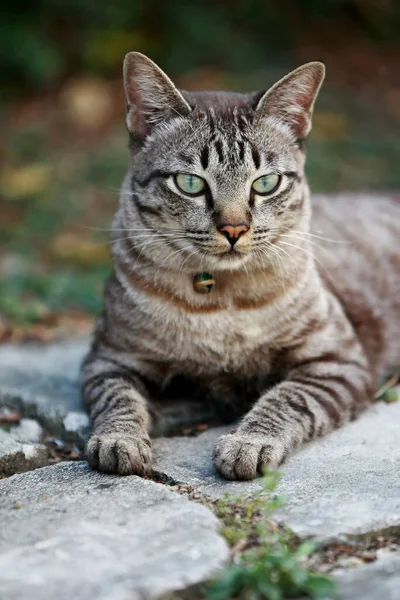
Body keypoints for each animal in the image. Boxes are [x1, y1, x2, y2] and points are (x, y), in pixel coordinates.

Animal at [80, 54, 400, 480]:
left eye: (265, 183)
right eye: (190, 183)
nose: (234, 229)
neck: (220, 299)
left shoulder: (336, 360)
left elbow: (286, 399)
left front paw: (248, 442)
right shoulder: (109, 358)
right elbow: (118, 400)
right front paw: (119, 440)